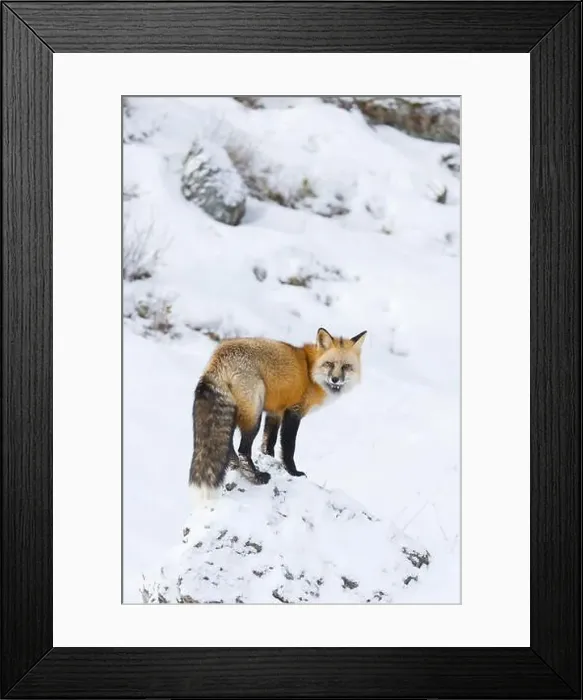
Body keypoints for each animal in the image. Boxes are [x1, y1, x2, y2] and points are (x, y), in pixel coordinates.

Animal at [189, 327, 367, 499]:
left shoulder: (276, 412)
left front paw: (270, 459)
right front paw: (293, 472)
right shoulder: (293, 412)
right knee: (243, 451)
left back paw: (237, 467)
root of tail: (219, 355)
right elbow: (288, 447)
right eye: (329, 364)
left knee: (230, 447)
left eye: (346, 366)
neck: (310, 372)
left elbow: (269, 443)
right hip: (254, 415)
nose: (335, 380)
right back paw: (256, 477)